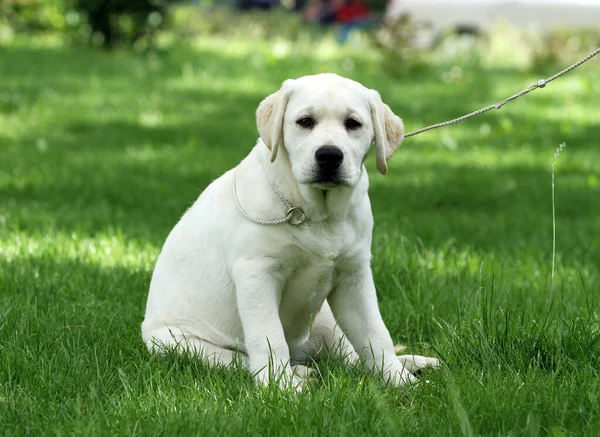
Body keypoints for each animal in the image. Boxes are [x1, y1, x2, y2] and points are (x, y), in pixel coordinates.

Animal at [142, 72, 440, 388]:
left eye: (353, 124)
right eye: (305, 121)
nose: (329, 156)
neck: (316, 213)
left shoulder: (353, 275)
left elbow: (375, 333)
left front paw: (399, 380)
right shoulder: (257, 273)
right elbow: (269, 337)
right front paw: (280, 387)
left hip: (325, 319)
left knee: (349, 356)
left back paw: (413, 363)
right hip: (179, 343)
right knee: (241, 361)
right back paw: (299, 374)